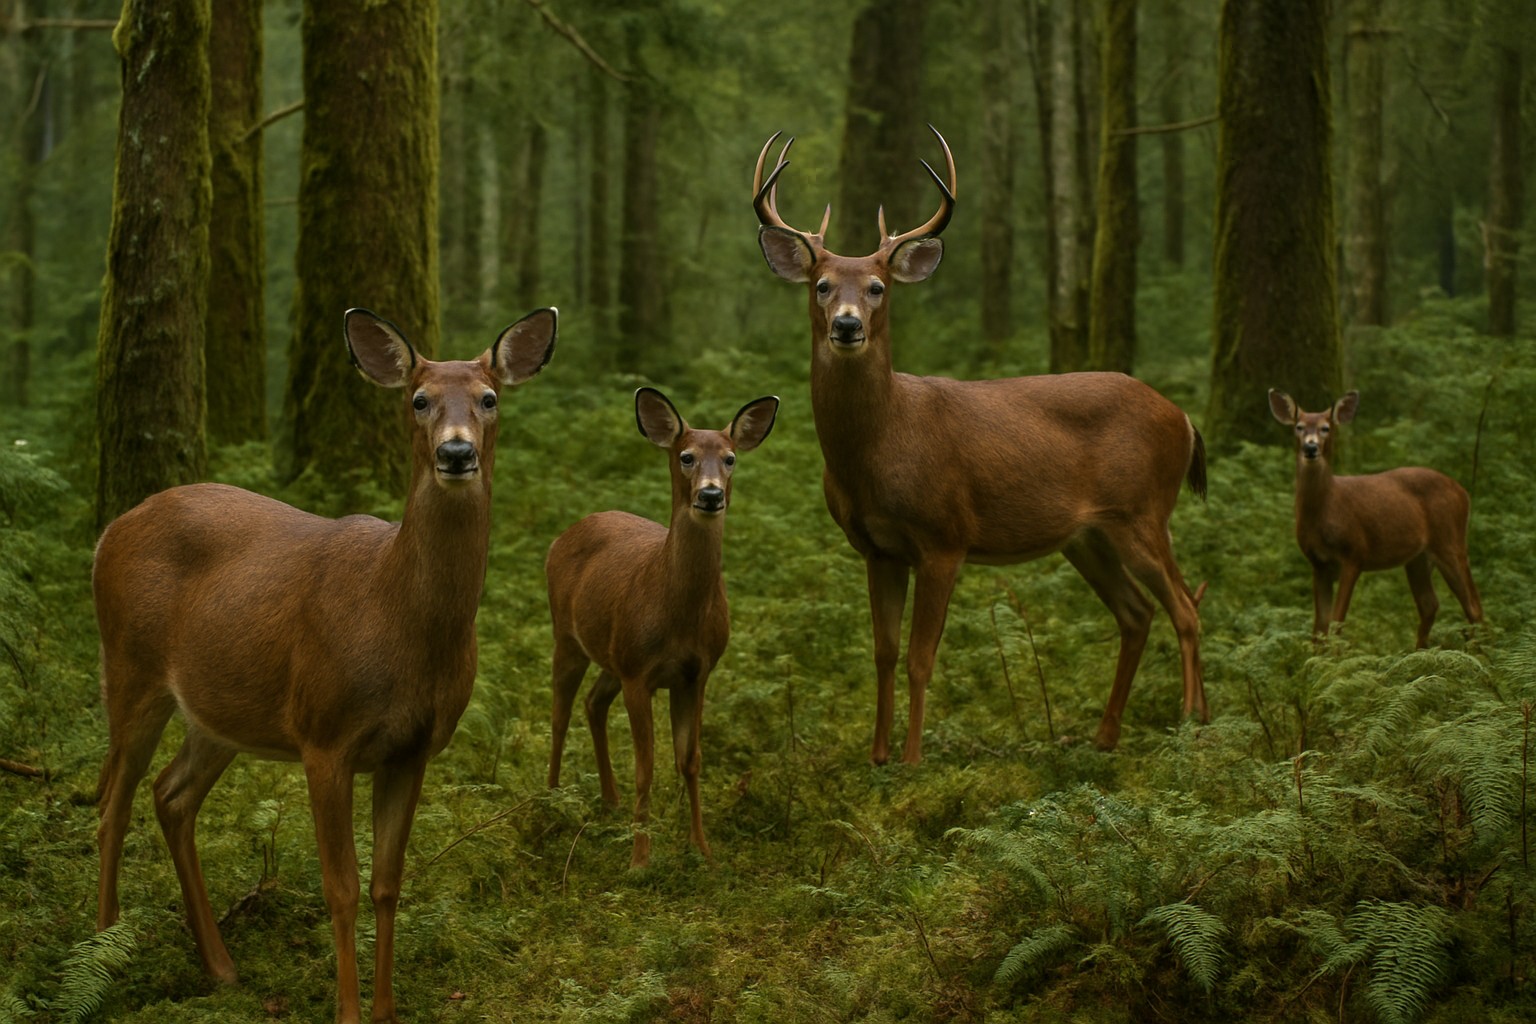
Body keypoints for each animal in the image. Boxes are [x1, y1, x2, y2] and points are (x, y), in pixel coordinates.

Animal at [92, 307, 557, 1024]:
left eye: (489, 398)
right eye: (418, 399)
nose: (456, 453)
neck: (398, 619)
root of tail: (109, 532)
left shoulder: (412, 748)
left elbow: (388, 882)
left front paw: (388, 1011)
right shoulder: (324, 735)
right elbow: (340, 887)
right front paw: (348, 1011)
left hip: (221, 709)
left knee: (169, 795)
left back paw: (221, 966)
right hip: (130, 665)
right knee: (112, 803)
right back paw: (102, 948)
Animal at [545, 387, 778, 868]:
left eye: (730, 458)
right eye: (686, 456)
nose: (710, 495)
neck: (678, 615)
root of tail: (565, 534)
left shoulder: (695, 673)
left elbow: (689, 759)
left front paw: (702, 849)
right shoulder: (640, 673)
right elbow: (646, 766)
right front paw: (639, 859)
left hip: (612, 654)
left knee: (593, 703)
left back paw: (610, 801)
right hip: (567, 635)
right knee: (559, 714)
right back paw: (552, 802)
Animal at [752, 127, 1208, 761]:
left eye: (876, 287)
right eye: (821, 286)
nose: (847, 324)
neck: (876, 450)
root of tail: (1184, 418)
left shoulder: (945, 536)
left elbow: (920, 659)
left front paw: (913, 760)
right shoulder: (876, 549)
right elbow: (883, 653)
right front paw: (876, 756)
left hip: (1143, 510)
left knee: (1185, 606)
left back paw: (1191, 722)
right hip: (1087, 536)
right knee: (1138, 613)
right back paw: (1106, 736)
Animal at [1267, 389, 1484, 648]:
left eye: (1325, 428)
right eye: (1298, 427)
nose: (1310, 448)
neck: (1327, 509)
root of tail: (1464, 493)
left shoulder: (1355, 553)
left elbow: (1336, 623)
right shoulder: (1318, 562)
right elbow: (1319, 629)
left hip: (1451, 542)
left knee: (1474, 606)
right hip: (1418, 558)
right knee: (1430, 605)